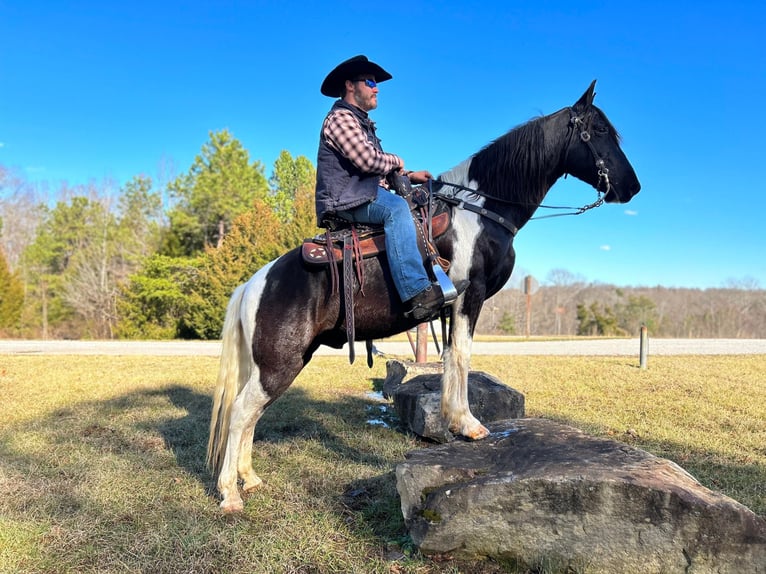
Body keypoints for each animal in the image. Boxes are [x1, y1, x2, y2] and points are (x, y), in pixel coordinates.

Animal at [206, 80, 640, 512]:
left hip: (276, 364)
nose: (633, 187)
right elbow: (462, 355)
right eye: (599, 131)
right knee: (241, 411)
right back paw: (230, 493)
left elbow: (449, 356)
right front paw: (468, 424)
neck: (477, 209)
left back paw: (249, 478)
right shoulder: (470, 295)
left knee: (252, 413)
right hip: (279, 363)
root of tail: (254, 283)